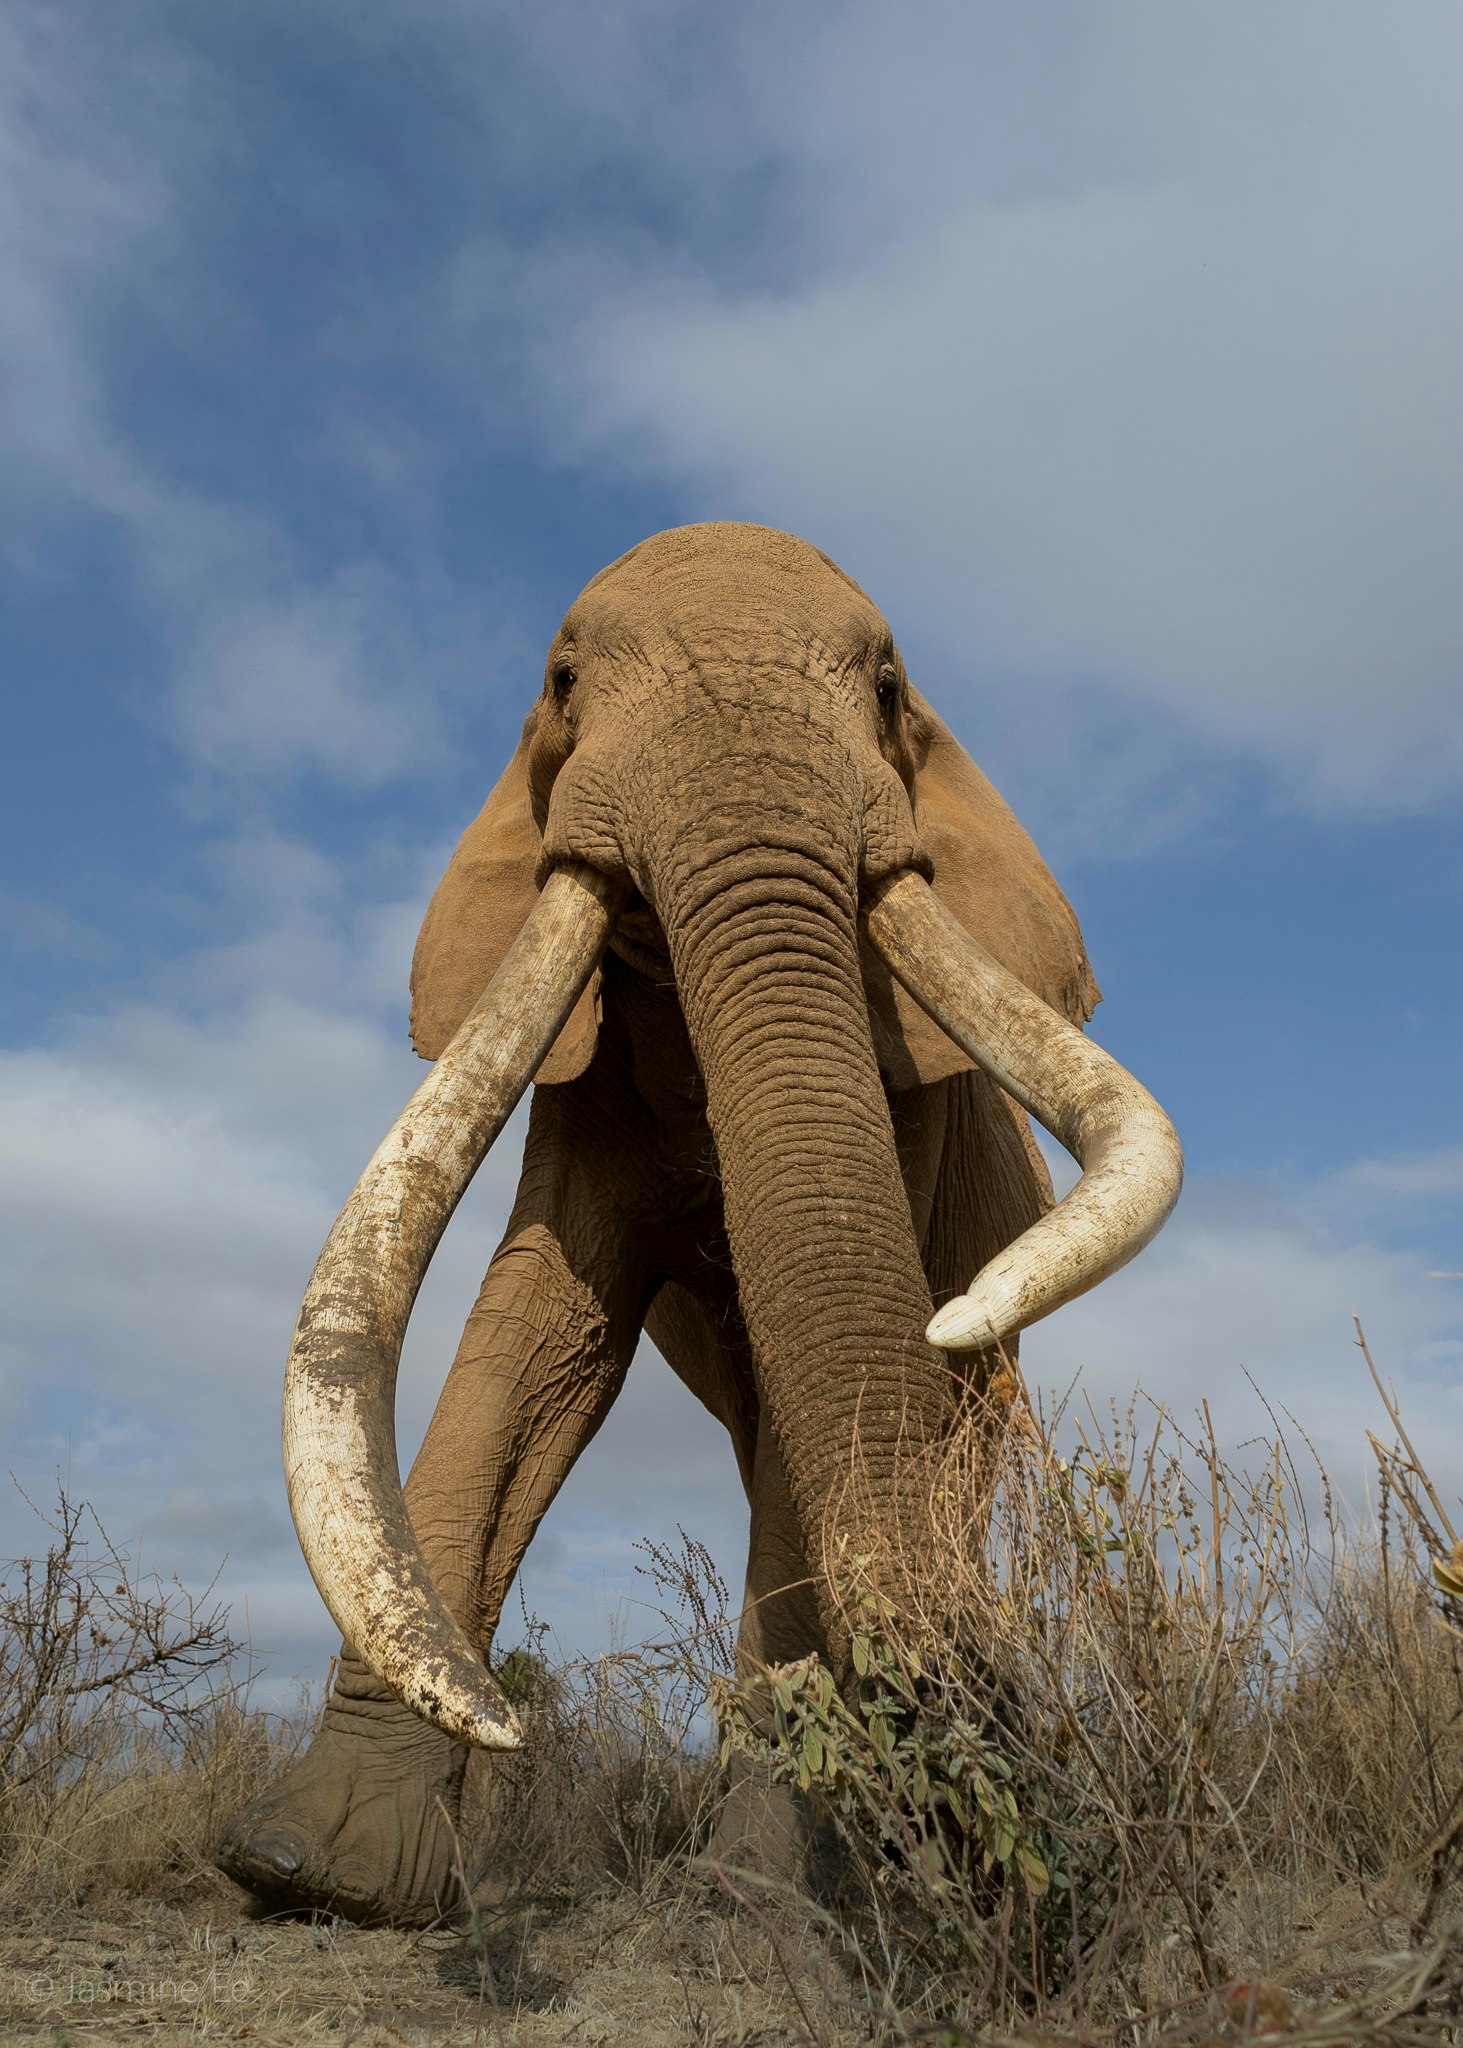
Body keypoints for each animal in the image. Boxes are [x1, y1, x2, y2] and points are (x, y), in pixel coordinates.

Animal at [215, 522, 1181, 1926]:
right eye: (562, 679)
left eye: (886, 686)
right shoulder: (583, 1072)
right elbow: (534, 1336)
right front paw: (309, 1871)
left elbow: (827, 1356)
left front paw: (758, 1899)